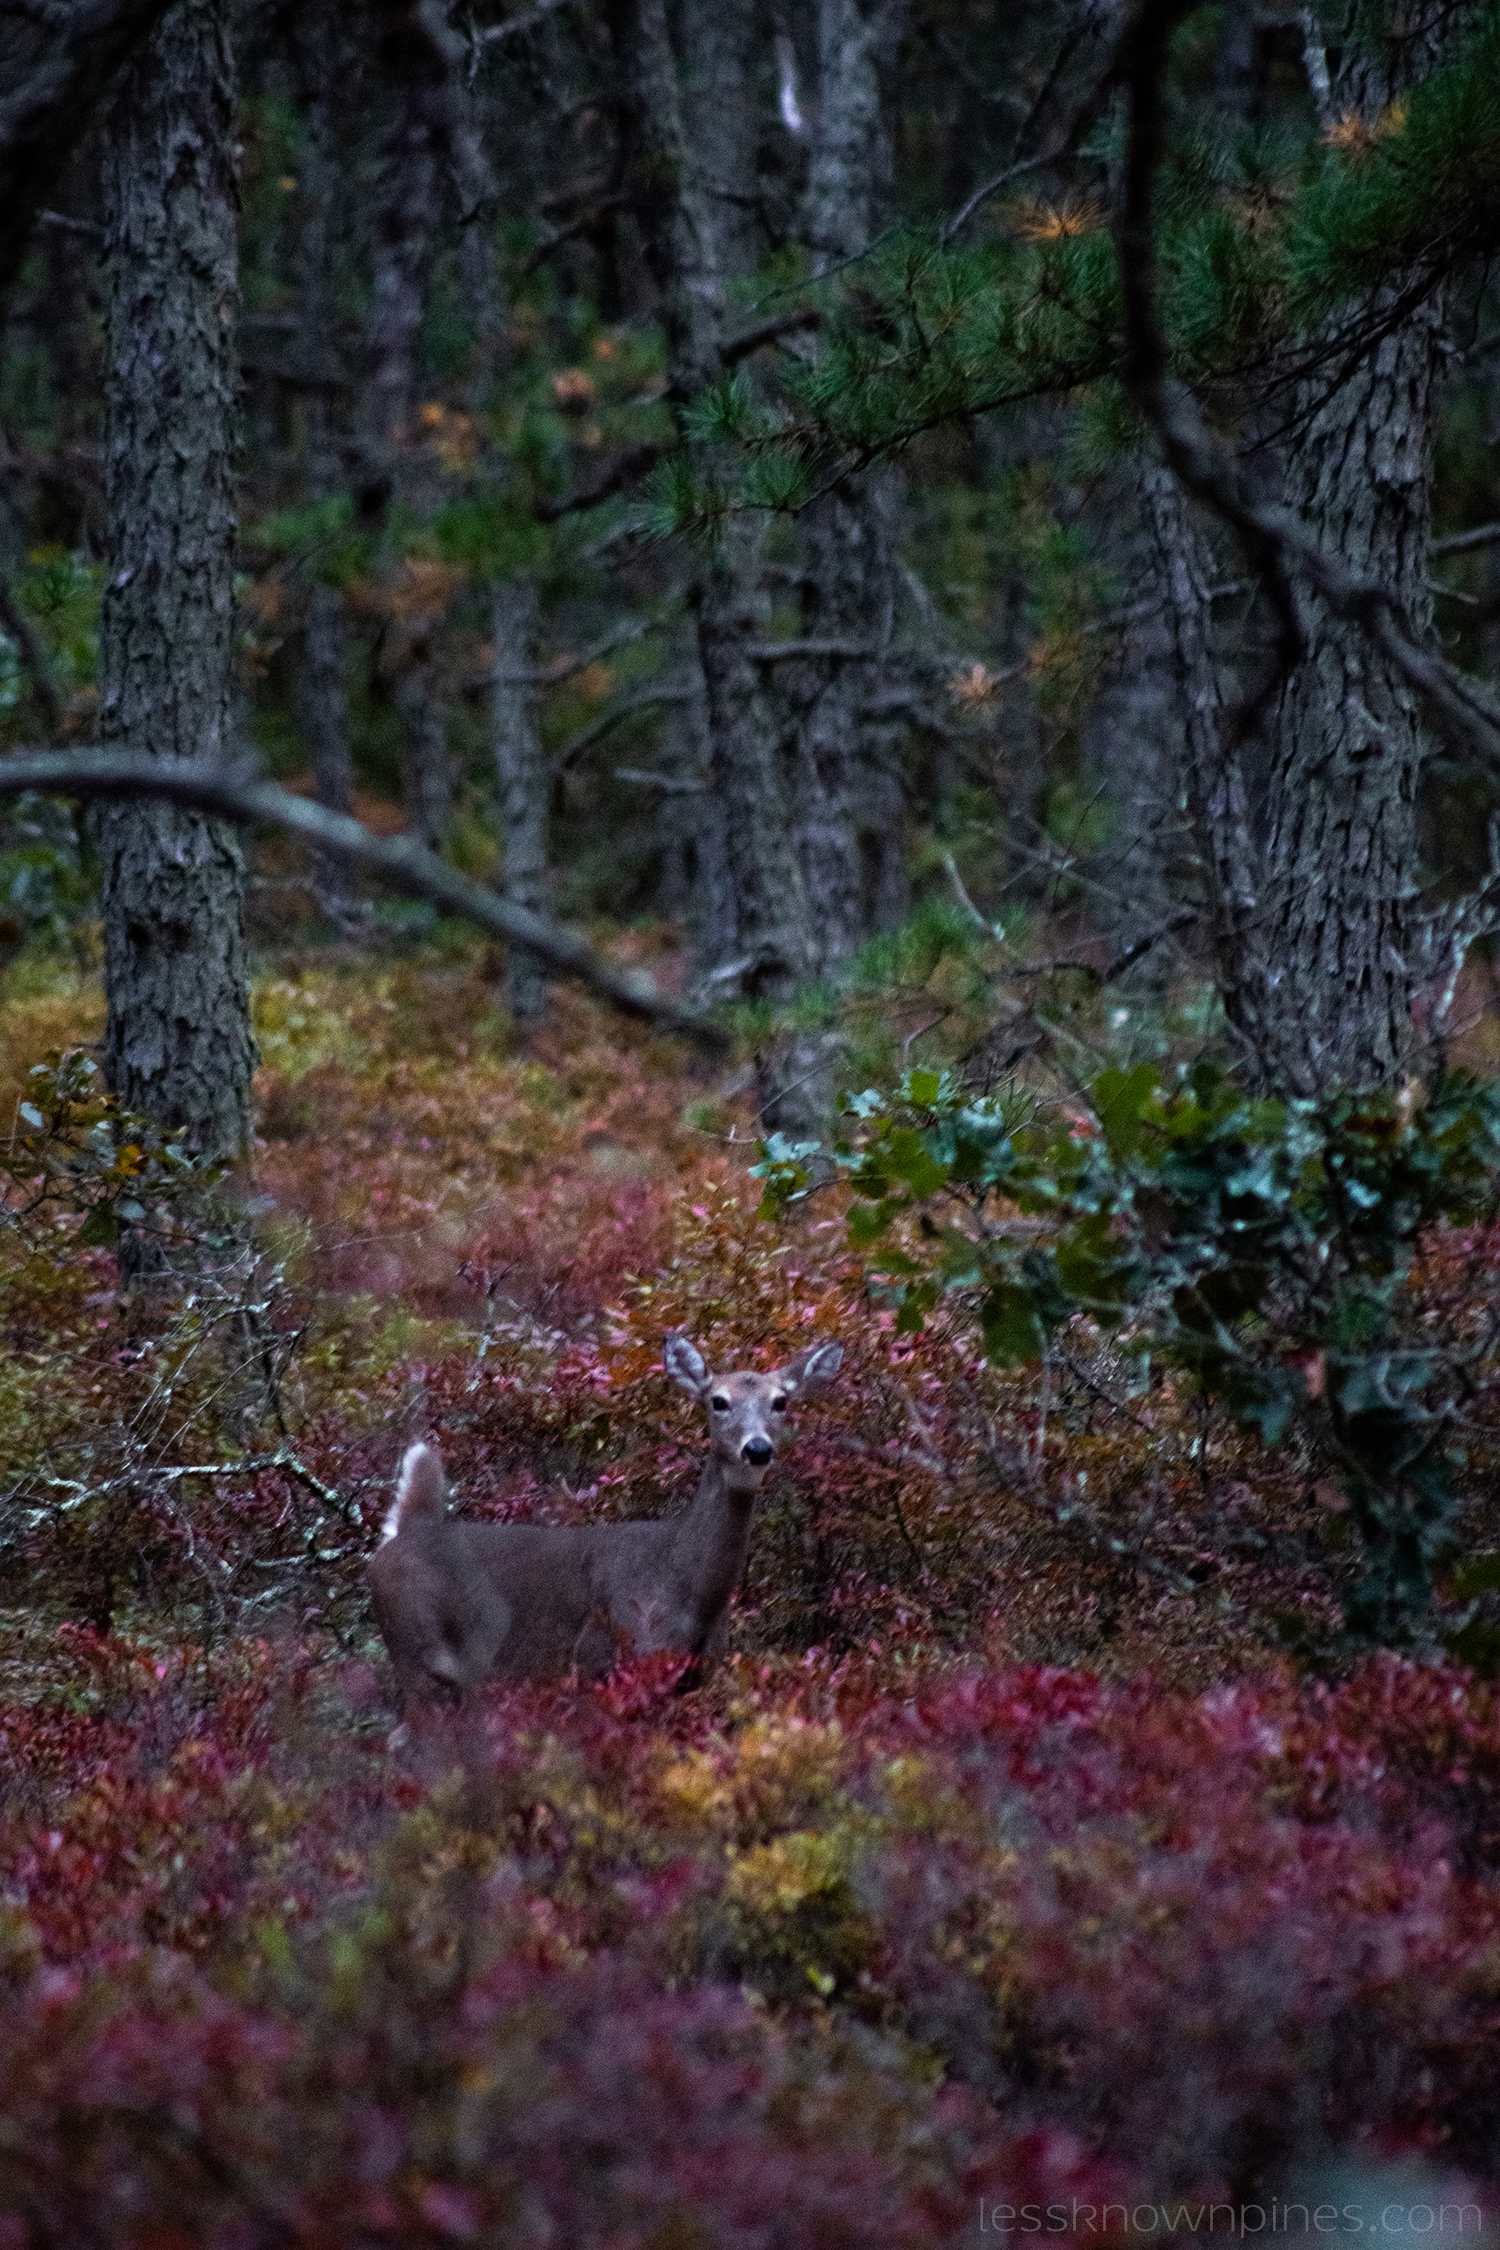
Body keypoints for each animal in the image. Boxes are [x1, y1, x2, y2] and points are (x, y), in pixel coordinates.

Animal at [368, 1332, 843, 1706]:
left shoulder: (697, 1673)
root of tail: (406, 1528)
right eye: (718, 1401)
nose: (757, 1448)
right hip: (413, 1650)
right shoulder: (601, 1659)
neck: (682, 1583)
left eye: (780, 1401)